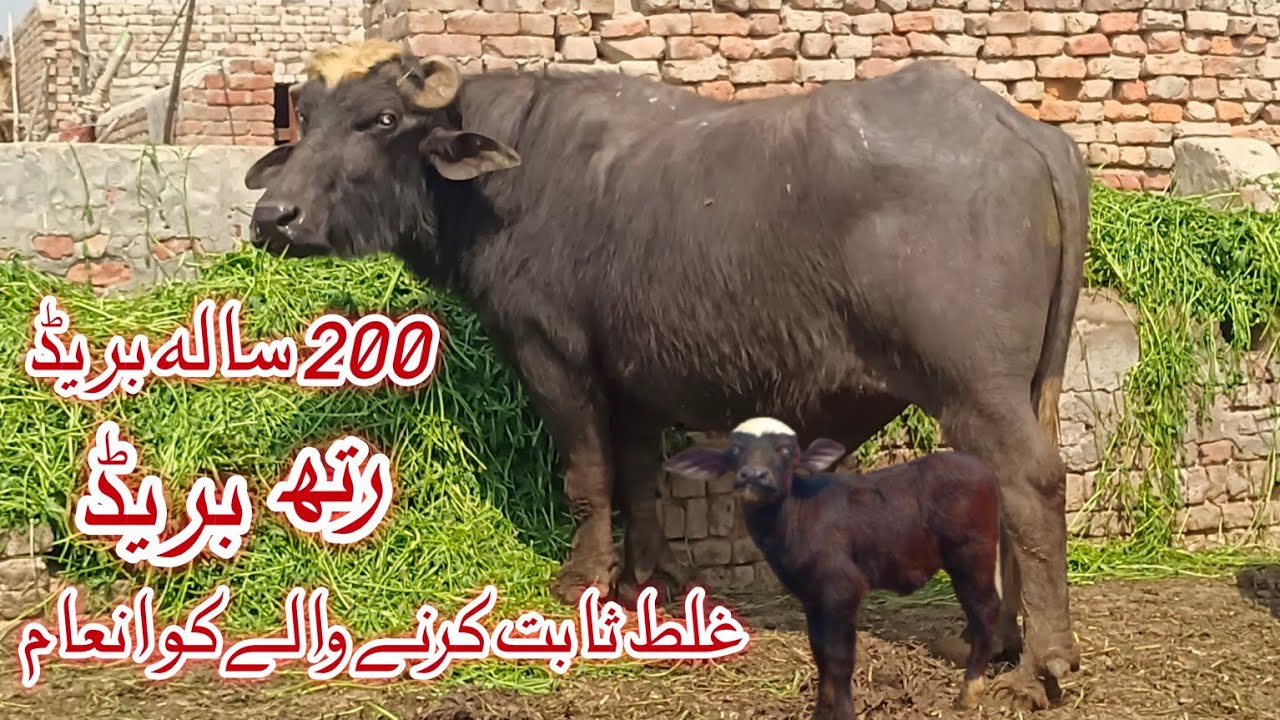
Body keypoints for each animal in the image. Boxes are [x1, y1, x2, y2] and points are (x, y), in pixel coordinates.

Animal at [242, 39, 1089, 709]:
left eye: (382, 119)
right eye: (307, 117)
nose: (275, 217)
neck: (507, 180)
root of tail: (1026, 133)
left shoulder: (552, 354)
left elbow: (589, 476)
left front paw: (583, 581)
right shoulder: (637, 375)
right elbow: (642, 474)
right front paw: (647, 578)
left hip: (976, 387)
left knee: (1032, 485)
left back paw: (1040, 667)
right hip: (1023, 386)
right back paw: (1002, 640)